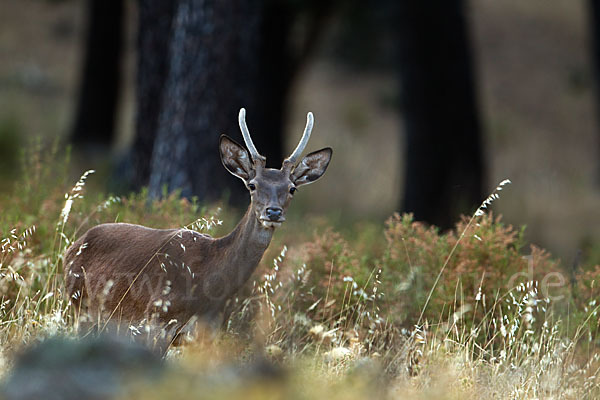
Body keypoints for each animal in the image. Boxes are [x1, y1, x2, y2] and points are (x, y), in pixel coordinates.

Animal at [64, 108, 332, 352]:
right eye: (253, 185)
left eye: (292, 188)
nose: (273, 212)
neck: (207, 284)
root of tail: (71, 247)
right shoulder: (157, 319)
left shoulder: (208, 333)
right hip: (81, 306)